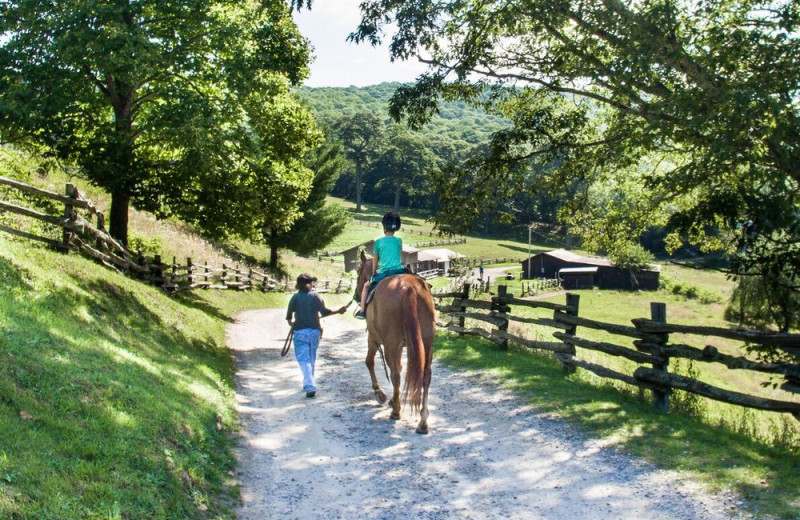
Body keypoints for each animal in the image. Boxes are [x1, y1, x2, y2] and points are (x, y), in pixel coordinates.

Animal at [356, 250, 438, 432]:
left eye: (358, 272)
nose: (356, 295)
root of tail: (407, 287)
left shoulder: (373, 338)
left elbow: (369, 361)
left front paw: (380, 393)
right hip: (427, 342)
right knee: (425, 375)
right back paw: (423, 421)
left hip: (390, 344)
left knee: (395, 374)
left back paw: (396, 411)